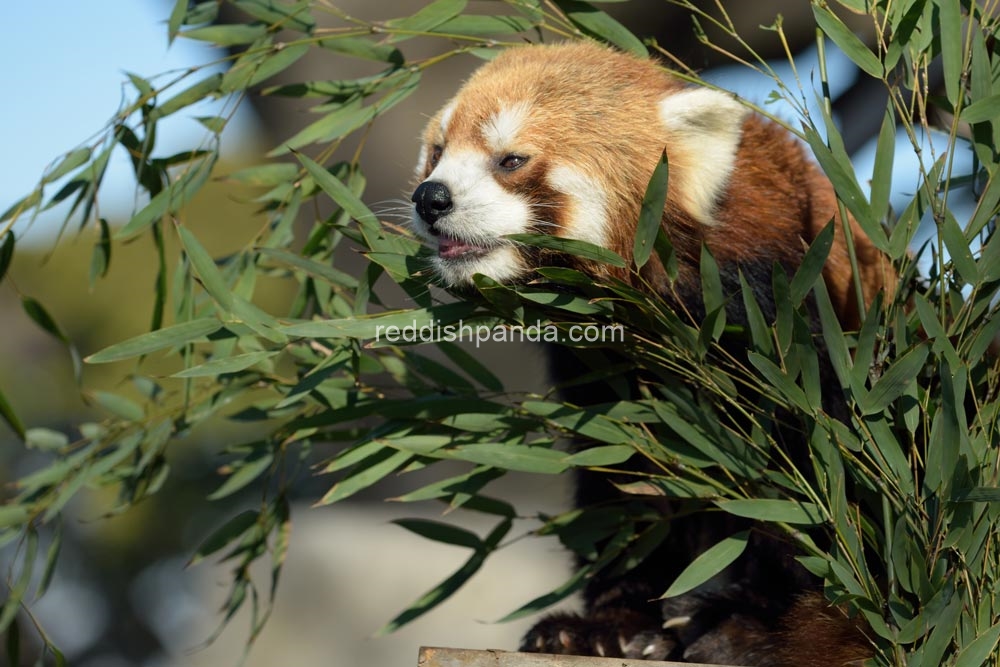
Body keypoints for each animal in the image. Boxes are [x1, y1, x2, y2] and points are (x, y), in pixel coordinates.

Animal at [410, 43, 896, 667]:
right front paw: (609, 625)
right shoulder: (610, 382)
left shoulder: (799, 340)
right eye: (437, 153)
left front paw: (752, 626)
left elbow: (818, 492)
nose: (431, 198)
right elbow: (629, 485)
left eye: (511, 159)